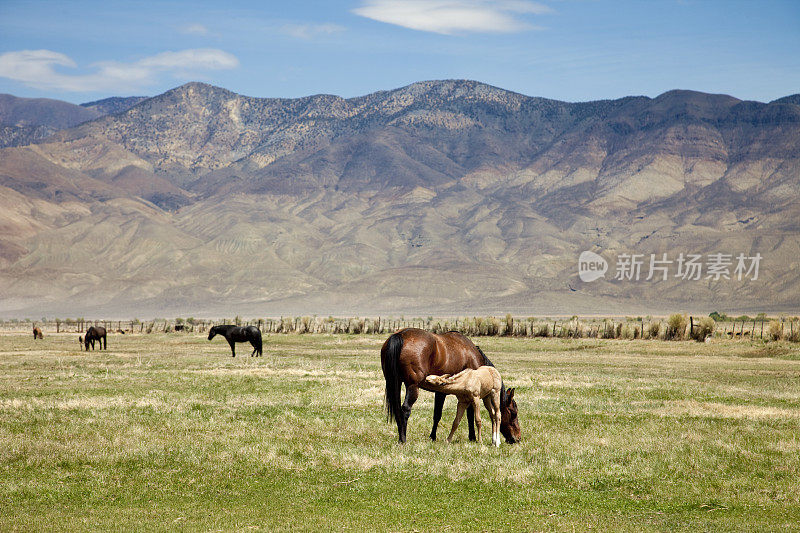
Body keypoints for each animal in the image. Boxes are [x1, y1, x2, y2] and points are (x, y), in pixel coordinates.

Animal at [382, 328, 524, 444]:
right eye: (513, 413)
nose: (517, 438)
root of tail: (400, 335)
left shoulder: (440, 392)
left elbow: (437, 414)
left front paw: (432, 437)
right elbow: (469, 414)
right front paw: (472, 437)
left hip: (394, 383)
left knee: (398, 410)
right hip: (412, 387)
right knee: (405, 409)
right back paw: (403, 439)